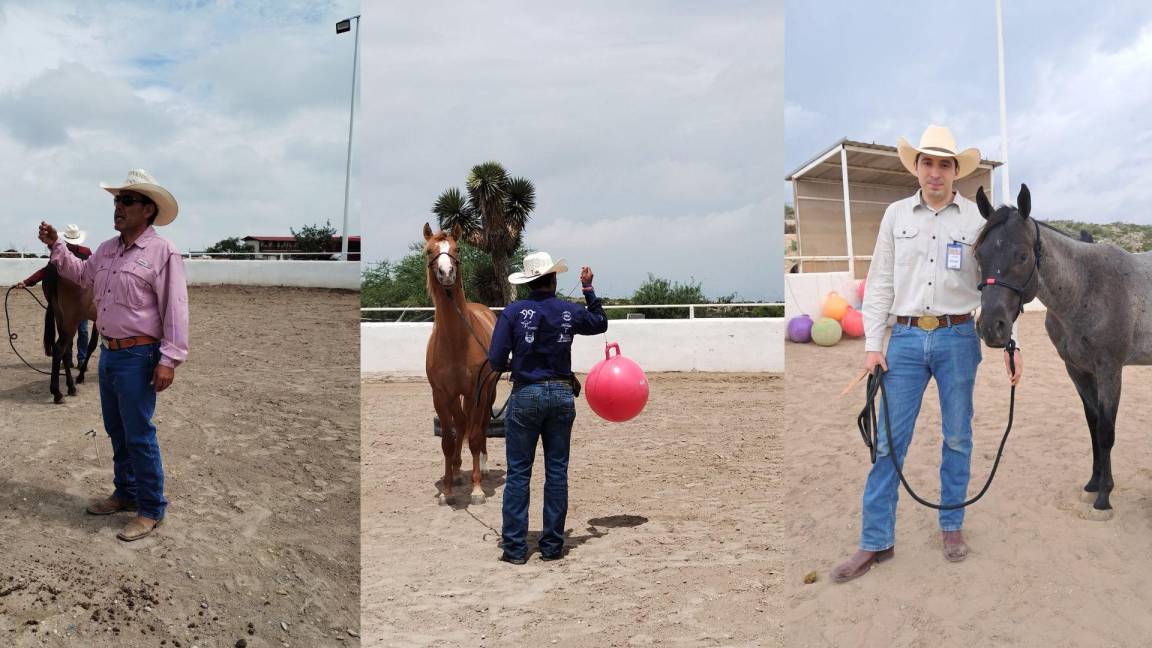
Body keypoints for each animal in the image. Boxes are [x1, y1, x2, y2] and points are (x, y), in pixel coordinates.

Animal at [41, 260, 99, 401]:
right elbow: (93, 345)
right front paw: (81, 376)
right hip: (71, 322)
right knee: (59, 349)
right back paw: (57, 392)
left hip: (61, 319)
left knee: (65, 351)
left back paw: (71, 387)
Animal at [423, 221, 495, 505]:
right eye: (429, 251)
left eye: (458, 248)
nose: (446, 272)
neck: (456, 341)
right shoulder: (441, 396)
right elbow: (447, 440)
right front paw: (447, 490)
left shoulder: (476, 392)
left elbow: (474, 437)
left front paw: (476, 491)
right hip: (455, 398)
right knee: (461, 425)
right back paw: (454, 471)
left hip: (488, 393)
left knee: (480, 426)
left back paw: (482, 468)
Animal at [972, 184, 1152, 511]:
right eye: (979, 254)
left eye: (1022, 256)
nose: (992, 327)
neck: (1086, 287)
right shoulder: (1078, 370)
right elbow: (1093, 424)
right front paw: (1094, 484)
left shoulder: (1110, 370)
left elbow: (1106, 430)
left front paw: (1104, 497)